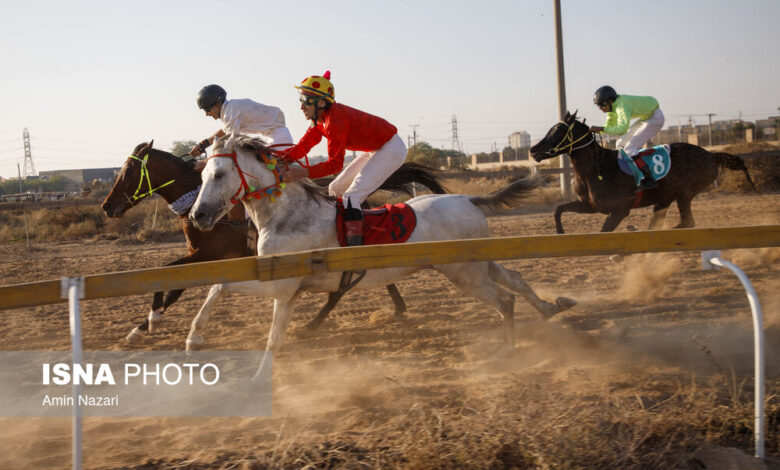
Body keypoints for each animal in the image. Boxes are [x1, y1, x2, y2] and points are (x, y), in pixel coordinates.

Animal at [100, 140, 448, 342]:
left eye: (128, 170)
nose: (107, 206)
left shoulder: (210, 253)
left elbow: (172, 283)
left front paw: (146, 323)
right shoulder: (204, 254)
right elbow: (172, 280)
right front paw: (145, 324)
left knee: (343, 286)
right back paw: (394, 308)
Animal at [186, 134, 568, 366]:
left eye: (218, 174)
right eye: (202, 174)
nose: (198, 215)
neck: (287, 215)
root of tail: (468, 199)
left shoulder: (281, 285)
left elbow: (222, 287)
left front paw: (194, 339)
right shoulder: (288, 293)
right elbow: (270, 334)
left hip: (465, 274)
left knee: (505, 298)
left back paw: (508, 349)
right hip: (477, 262)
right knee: (514, 279)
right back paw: (552, 307)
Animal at [532, 112, 756, 233]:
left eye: (559, 131)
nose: (533, 150)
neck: (596, 170)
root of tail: (710, 155)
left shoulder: (621, 209)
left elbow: (604, 230)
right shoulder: (590, 206)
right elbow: (558, 209)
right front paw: (560, 231)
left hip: (684, 193)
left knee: (686, 222)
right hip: (665, 197)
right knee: (659, 225)